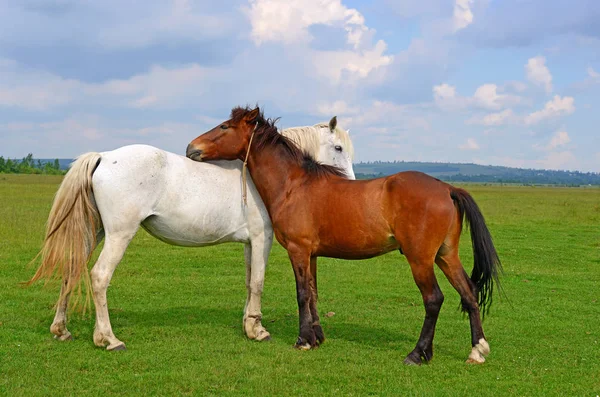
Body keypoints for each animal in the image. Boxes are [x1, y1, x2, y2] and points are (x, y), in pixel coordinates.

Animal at [30, 116, 354, 348]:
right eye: (338, 148)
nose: (349, 184)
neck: (273, 176)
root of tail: (105, 156)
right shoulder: (263, 239)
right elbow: (259, 282)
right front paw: (259, 330)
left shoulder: (250, 242)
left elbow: (249, 281)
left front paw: (249, 325)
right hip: (119, 235)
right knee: (99, 277)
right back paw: (108, 339)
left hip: (95, 232)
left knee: (72, 269)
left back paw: (61, 329)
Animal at [189, 106, 502, 364]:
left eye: (224, 126)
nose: (191, 147)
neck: (294, 185)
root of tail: (446, 188)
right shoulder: (311, 254)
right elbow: (313, 293)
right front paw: (316, 337)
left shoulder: (298, 250)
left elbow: (302, 294)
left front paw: (303, 341)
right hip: (446, 255)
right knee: (469, 292)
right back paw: (477, 349)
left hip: (420, 259)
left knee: (434, 299)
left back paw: (418, 353)